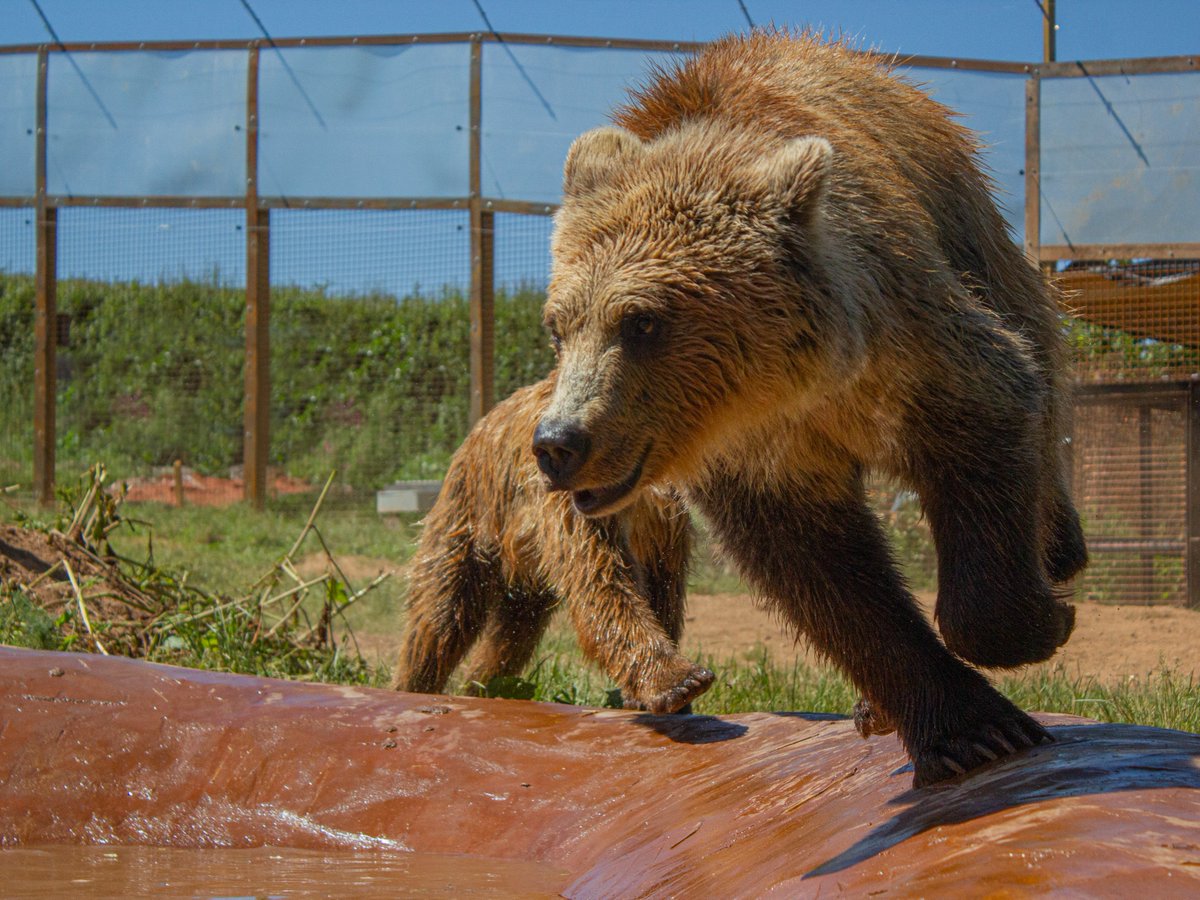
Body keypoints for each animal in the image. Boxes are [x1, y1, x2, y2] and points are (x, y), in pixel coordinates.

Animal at [393, 376, 710, 715]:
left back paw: (479, 687)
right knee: (440, 616)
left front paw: (652, 695)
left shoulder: (661, 524)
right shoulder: (574, 500)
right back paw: (412, 685)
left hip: (525, 576)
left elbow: (662, 590)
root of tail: (477, 429)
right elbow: (600, 577)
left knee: (510, 638)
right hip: (472, 515)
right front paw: (678, 681)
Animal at [532, 31, 1089, 787]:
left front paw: (1040, 624)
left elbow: (991, 412)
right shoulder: (762, 455)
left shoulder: (908, 342)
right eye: (558, 327)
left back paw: (1061, 548)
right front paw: (965, 730)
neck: (793, 387)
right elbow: (824, 573)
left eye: (642, 322)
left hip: (973, 231)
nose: (559, 442)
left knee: (1039, 359)